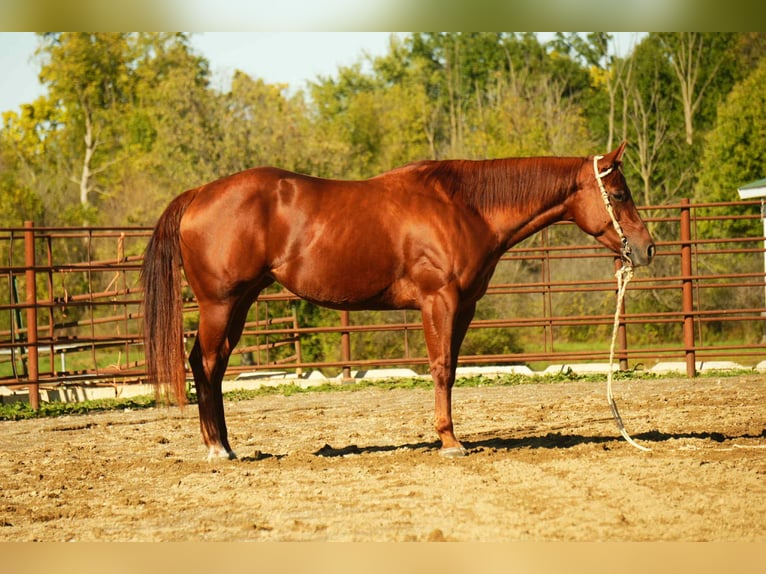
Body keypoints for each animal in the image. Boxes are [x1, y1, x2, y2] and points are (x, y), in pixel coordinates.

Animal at [141, 141, 655, 460]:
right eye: (619, 193)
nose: (647, 248)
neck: (464, 207)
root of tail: (198, 195)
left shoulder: (464, 307)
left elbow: (450, 369)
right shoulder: (439, 302)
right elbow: (441, 368)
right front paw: (450, 442)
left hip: (241, 303)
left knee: (216, 366)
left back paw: (226, 445)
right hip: (220, 304)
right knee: (205, 363)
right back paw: (216, 449)